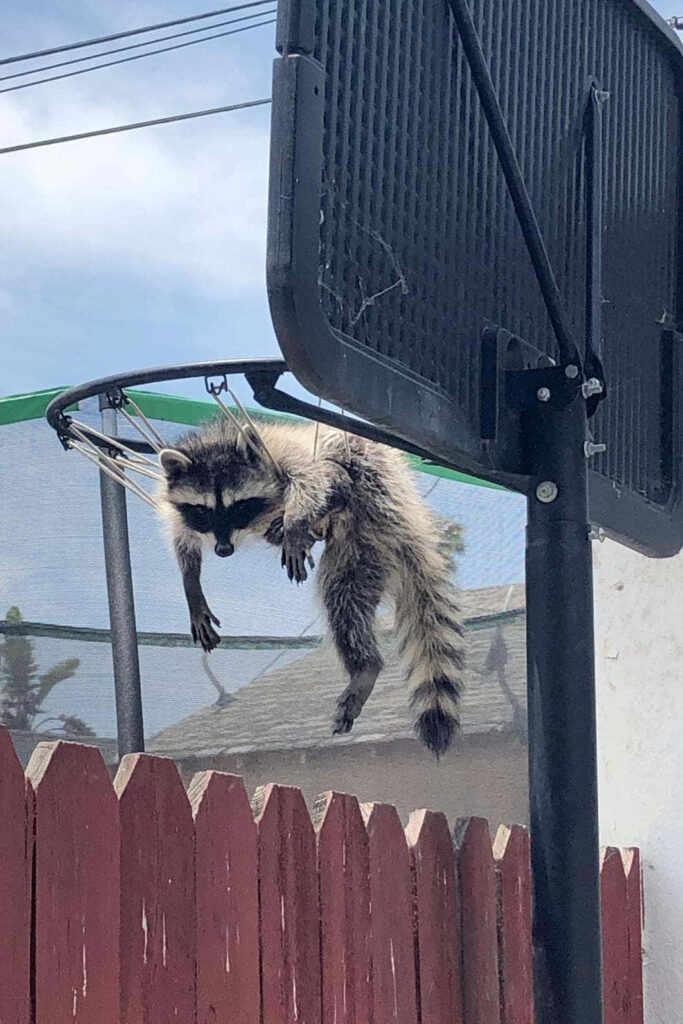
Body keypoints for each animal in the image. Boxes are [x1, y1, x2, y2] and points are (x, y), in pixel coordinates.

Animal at [156, 416, 466, 754]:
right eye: (203, 511)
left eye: (239, 506)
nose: (223, 550)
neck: (217, 442)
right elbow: (181, 533)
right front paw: (191, 581)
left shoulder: (286, 457)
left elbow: (319, 479)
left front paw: (294, 525)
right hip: (363, 556)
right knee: (345, 602)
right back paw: (364, 664)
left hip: (370, 481)